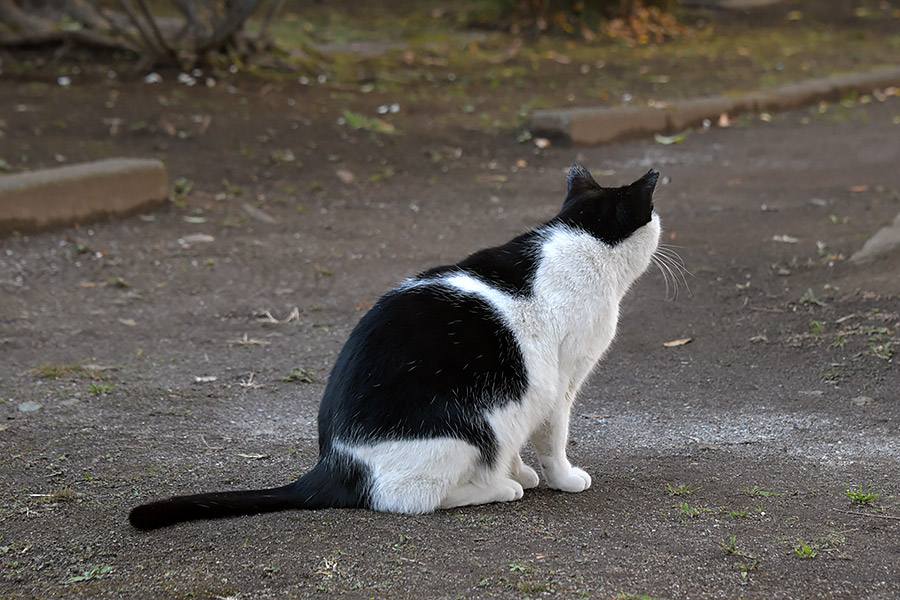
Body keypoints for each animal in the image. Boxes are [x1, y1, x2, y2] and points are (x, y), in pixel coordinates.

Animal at [130, 164, 660, 528]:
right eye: (653, 215)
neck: (578, 240)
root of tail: (333, 463)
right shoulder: (558, 387)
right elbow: (553, 441)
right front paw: (559, 478)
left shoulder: (527, 397)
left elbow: (521, 441)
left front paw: (525, 471)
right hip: (466, 432)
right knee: (409, 500)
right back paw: (494, 488)